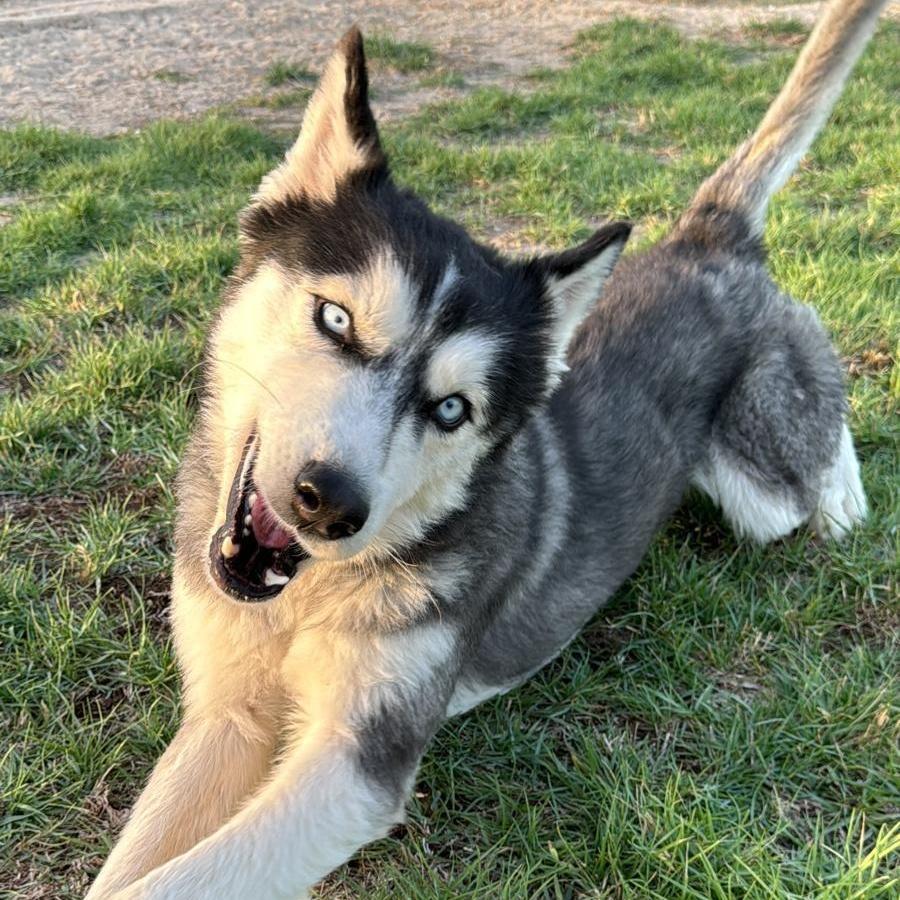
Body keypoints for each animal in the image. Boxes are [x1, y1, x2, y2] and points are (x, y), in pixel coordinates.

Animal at [87, 1, 885, 896]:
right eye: (335, 318)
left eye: (450, 409)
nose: (328, 504)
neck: (308, 597)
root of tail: (701, 242)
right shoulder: (227, 715)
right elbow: (130, 867)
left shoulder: (355, 764)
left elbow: (177, 878)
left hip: (762, 480)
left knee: (812, 407)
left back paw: (845, 503)